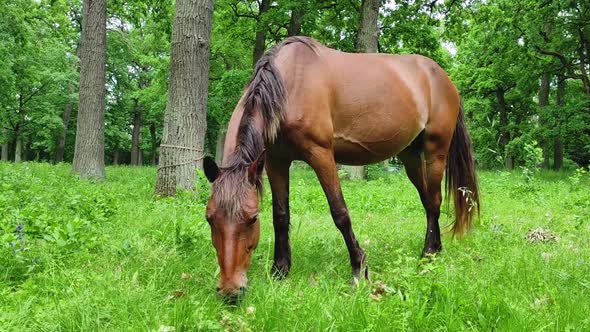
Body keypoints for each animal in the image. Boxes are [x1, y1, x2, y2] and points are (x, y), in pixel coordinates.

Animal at [204, 36, 480, 300]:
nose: (230, 290)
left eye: (252, 219)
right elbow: (280, 216)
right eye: (209, 218)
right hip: (410, 156)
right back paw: (436, 250)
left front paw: (359, 269)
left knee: (433, 201)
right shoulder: (275, 160)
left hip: (436, 151)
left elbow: (340, 213)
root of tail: (442, 77)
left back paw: (427, 255)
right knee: (427, 201)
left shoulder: (321, 154)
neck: (289, 86)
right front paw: (280, 271)